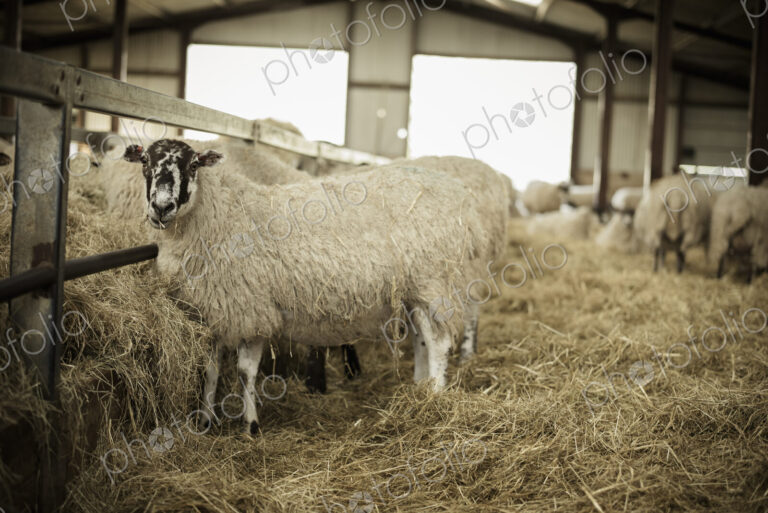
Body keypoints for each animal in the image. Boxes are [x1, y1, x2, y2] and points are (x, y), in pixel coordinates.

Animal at [122, 139, 491, 434]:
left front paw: (250, 425)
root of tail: (461, 197)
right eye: (145, 162)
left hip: (434, 281)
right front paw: (205, 421)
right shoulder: (216, 311)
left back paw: (435, 395)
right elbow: (210, 371)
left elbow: (244, 372)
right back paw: (420, 386)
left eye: (193, 165)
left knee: (439, 342)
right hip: (415, 290)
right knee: (421, 339)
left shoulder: (253, 309)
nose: (162, 207)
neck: (219, 215)